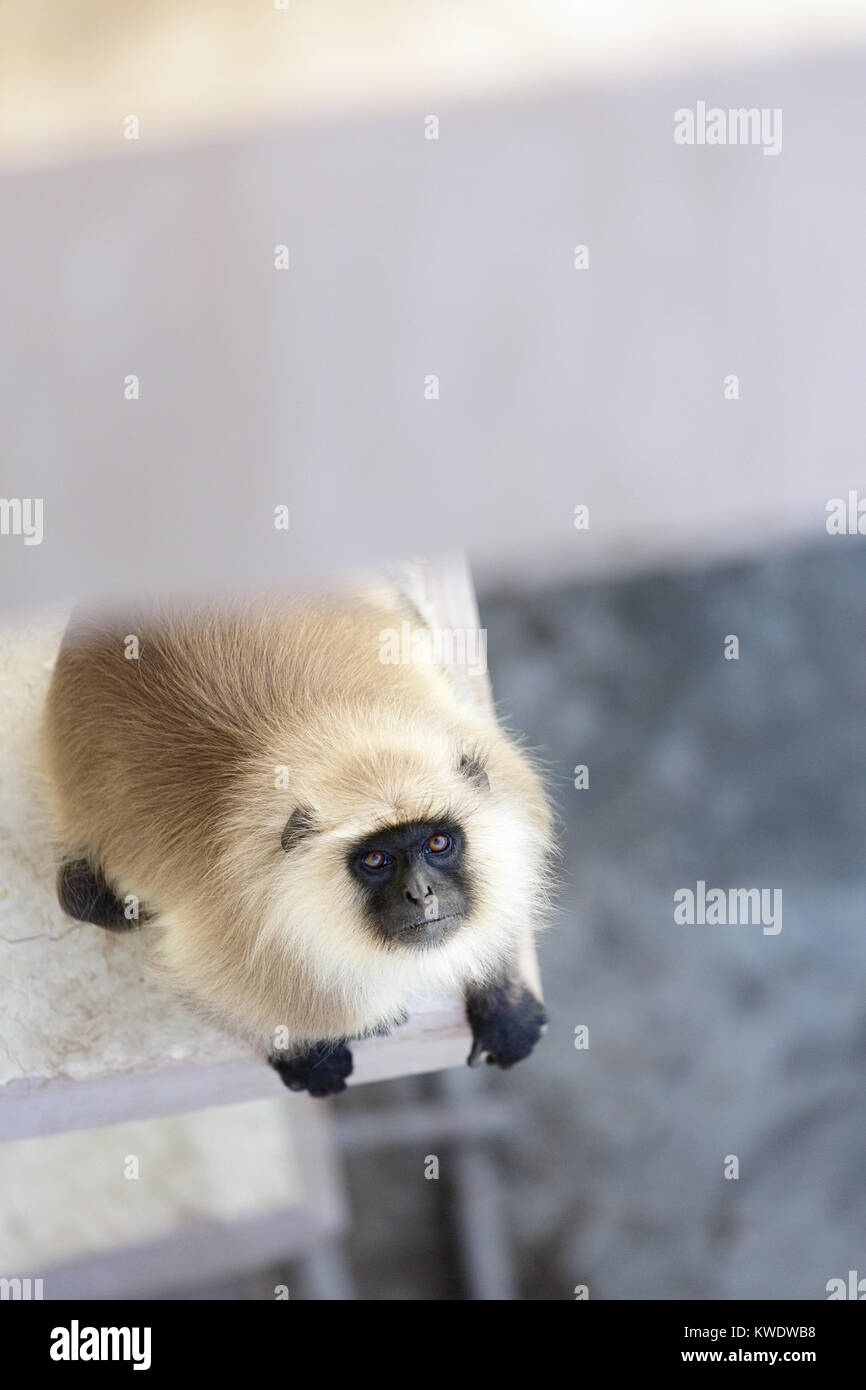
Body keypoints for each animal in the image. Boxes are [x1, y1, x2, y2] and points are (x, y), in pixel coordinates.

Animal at [40, 587, 554, 1098]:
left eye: (438, 844)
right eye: (376, 859)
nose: (421, 893)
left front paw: (502, 999)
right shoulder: (236, 913)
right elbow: (212, 988)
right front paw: (306, 1050)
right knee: (87, 901)